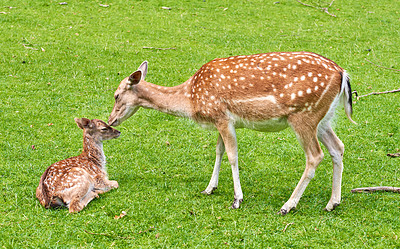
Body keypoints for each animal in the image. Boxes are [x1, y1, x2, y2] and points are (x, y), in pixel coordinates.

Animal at [108, 51, 354, 214]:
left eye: (116, 95)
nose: (111, 121)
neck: (190, 97)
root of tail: (343, 74)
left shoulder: (222, 117)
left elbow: (232, 155)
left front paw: (237, 199)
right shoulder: (222, 120)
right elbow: (218, 151)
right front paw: (209, 188)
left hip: (303, 115)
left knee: (315, 155)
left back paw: (288, 205)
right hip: (323, 119)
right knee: (338, 147)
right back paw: (333, 202)